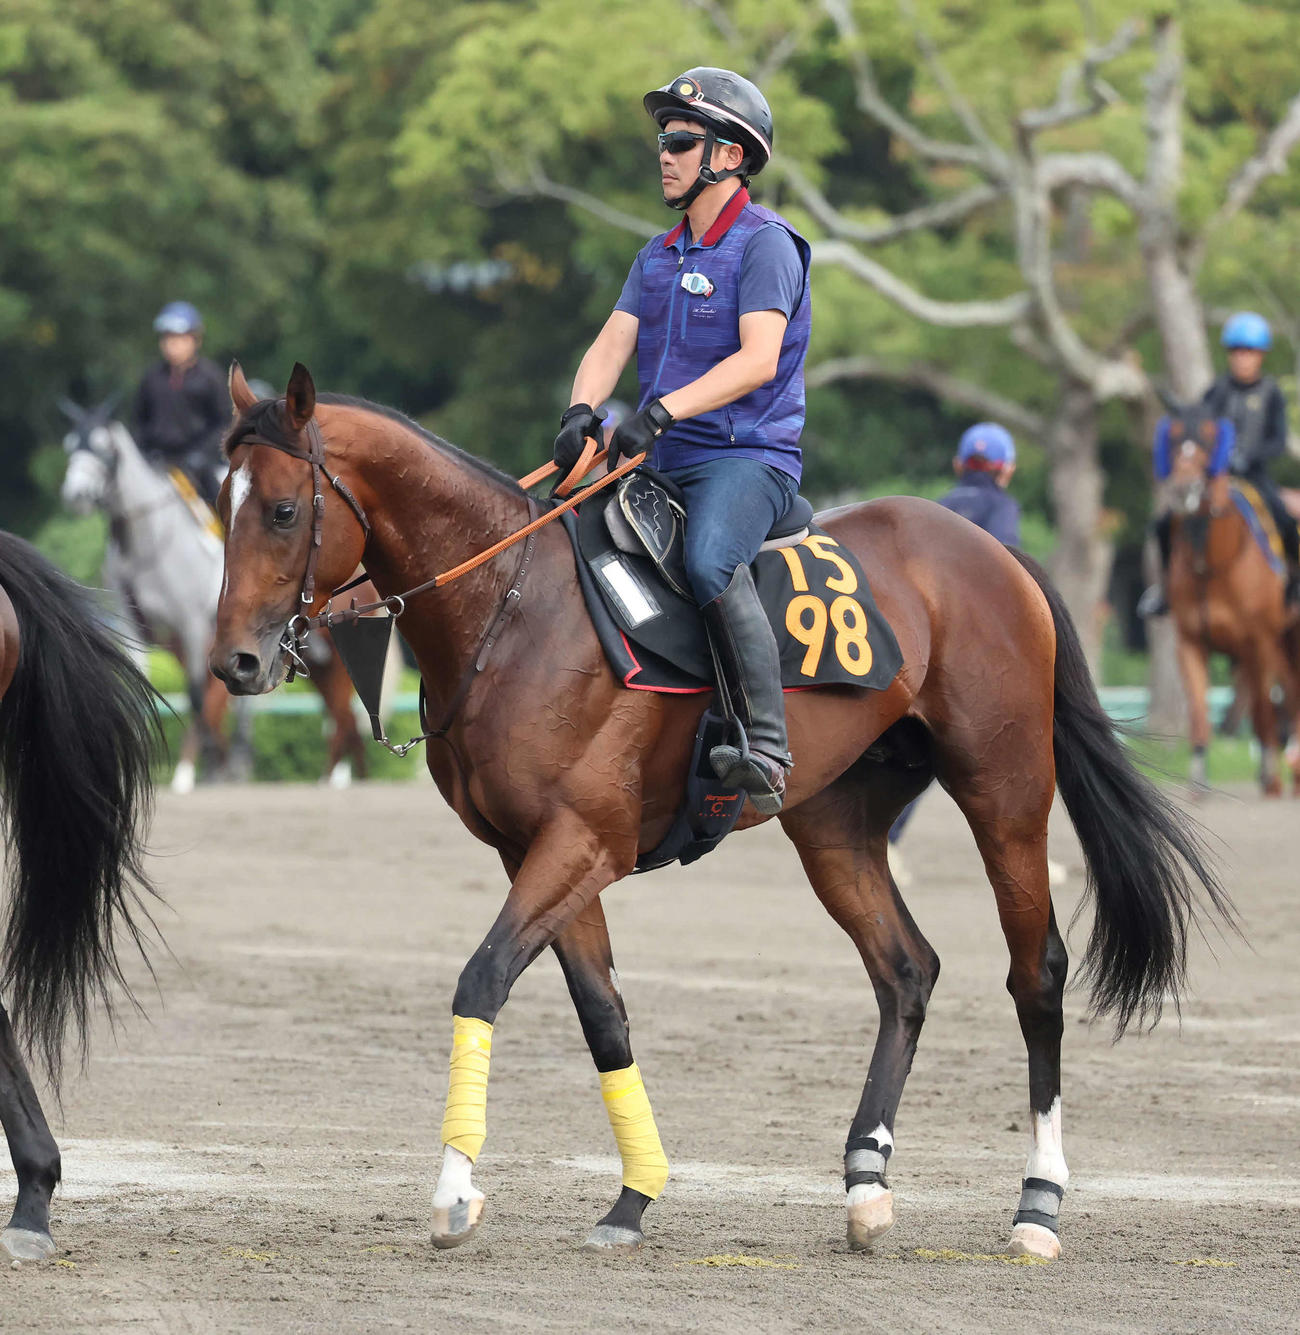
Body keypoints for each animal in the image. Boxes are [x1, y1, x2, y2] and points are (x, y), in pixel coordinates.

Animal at [58, 398, 372, 789]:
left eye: (102, 448)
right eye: (70, 445)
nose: (76, 497)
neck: (145, 545)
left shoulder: (191, 626)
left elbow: (196, 697)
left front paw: (208, 764)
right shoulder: (135, 630)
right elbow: (142, 684)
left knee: (341, 713)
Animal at [211, 363, 1230, 1262]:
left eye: (285, 510)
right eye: (223, 505)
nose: (233, 663)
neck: (516, 609)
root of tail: (988, 551)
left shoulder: (581, 840)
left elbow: (483, 977)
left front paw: (456, 1190)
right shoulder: (536, 851)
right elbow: (604, 1014)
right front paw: (633, 1195)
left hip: (1005, 793)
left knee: (1036, 976)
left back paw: (1038, 1204)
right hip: (834, 824)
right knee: (906, 970)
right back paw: (866, 1184)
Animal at [1156, 400, 1300, 795]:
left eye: (1209, 434)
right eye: (1174, 434)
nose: (1184, 489)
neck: (1212, 562)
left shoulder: (1258, 641)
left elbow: (1263, 711)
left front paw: (1271, 776)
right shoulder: (1190, 642)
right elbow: (1198, 711)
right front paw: (1198, 776)